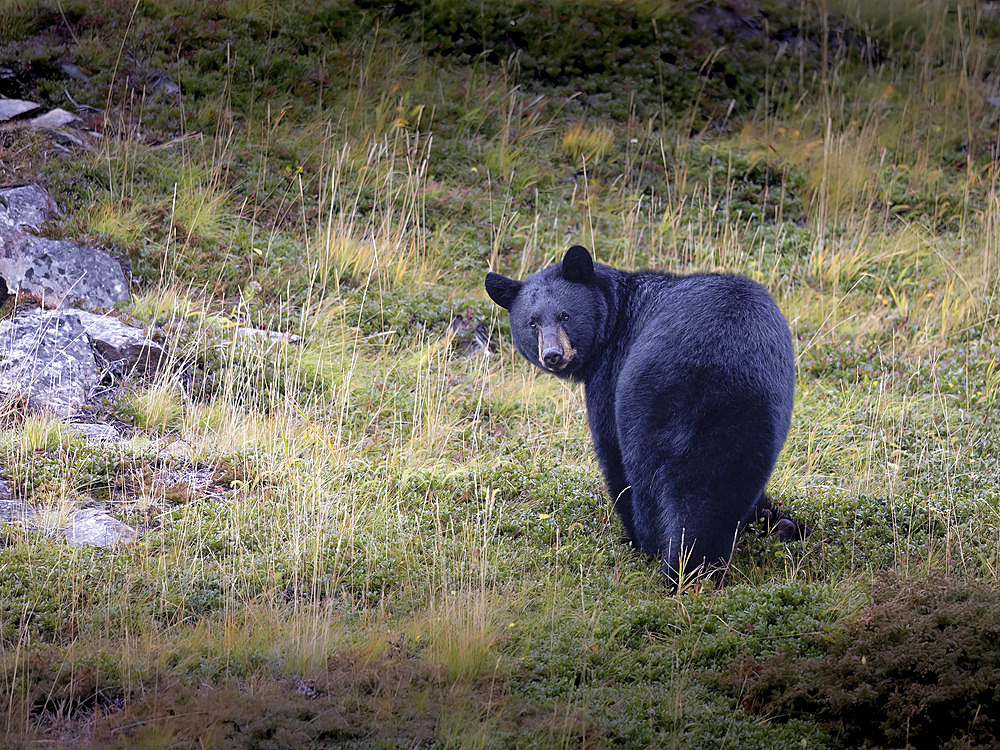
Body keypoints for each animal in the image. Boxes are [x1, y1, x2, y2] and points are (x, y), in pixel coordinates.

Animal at [486, 250, 796, 584]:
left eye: (565, 316)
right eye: (532, 322)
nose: (553, 355)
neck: (617, 317)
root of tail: (714, 373)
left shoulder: (610, 375)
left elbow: (610, 449)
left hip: (646, 404)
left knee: (645, 479)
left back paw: (654, 548)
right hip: (752, 416)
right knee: (723, 486)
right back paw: (709, 562)